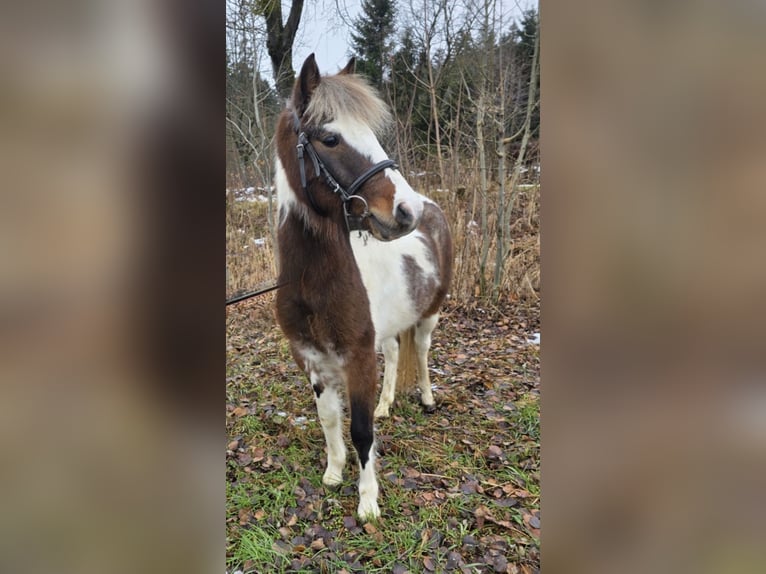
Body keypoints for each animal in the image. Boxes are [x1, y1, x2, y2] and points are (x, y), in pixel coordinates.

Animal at [274, 54, 452, 520]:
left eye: (372, 134)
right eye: (330, 138)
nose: (405, 210)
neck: (315, 284)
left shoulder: (357, 359)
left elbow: (360, 429)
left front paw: (367, 501)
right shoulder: (312, 359)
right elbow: (329, 419)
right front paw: (334, 474)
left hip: (430, 316)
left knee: (420, 352)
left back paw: (426, 399)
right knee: (394, 354)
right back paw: (388, 404)